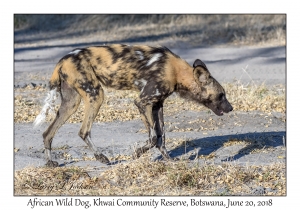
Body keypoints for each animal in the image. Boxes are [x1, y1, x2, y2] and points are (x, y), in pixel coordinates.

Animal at [34, 44, 233, 167]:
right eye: (221, 95)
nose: (231, 108)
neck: (176, 71)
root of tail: (62, 59)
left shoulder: (157, 105)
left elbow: (161, 137)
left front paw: (168, 159)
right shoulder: (142, 101)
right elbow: (152, 137)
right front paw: (136, 154)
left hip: (71, 103)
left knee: (47, 133)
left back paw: (50, 163)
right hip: (96, 96)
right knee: (83, 131)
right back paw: (101, 157)